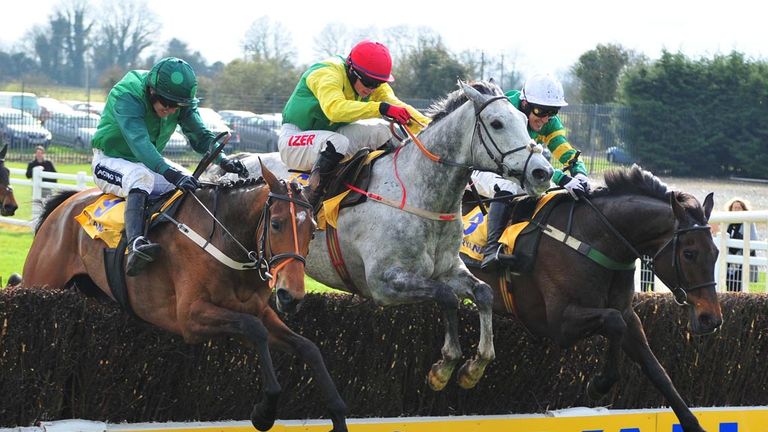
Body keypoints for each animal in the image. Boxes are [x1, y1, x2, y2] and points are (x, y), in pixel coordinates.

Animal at [18, 165, 348, 432]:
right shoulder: (190, 318)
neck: (225, 239)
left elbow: (308, 347)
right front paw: (264, 412)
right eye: (277, 223)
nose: (291, 296)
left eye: (313, 231)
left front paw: (338, 412)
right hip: (42, 281)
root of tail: (65, 204)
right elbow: (254, 330)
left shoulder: (257, 310)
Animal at [210, 79, 556, 390]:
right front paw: (444, 367)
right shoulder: (384, 283)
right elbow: (446, 297)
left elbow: (483, 293)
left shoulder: (447, 268)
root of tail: (233, 163)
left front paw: (474, 367)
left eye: (524, 120)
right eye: (497, 123)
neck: (420, 195)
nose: (542, 172)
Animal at [464, 166, 724, 432]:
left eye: (715, 252)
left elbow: (656, 370)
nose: (710, 319)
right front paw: (599, 385)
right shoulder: (558, 324)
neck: (593, 237)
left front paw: (693, 424)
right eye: (689, 253)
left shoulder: (629, 316)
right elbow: (614, 322)